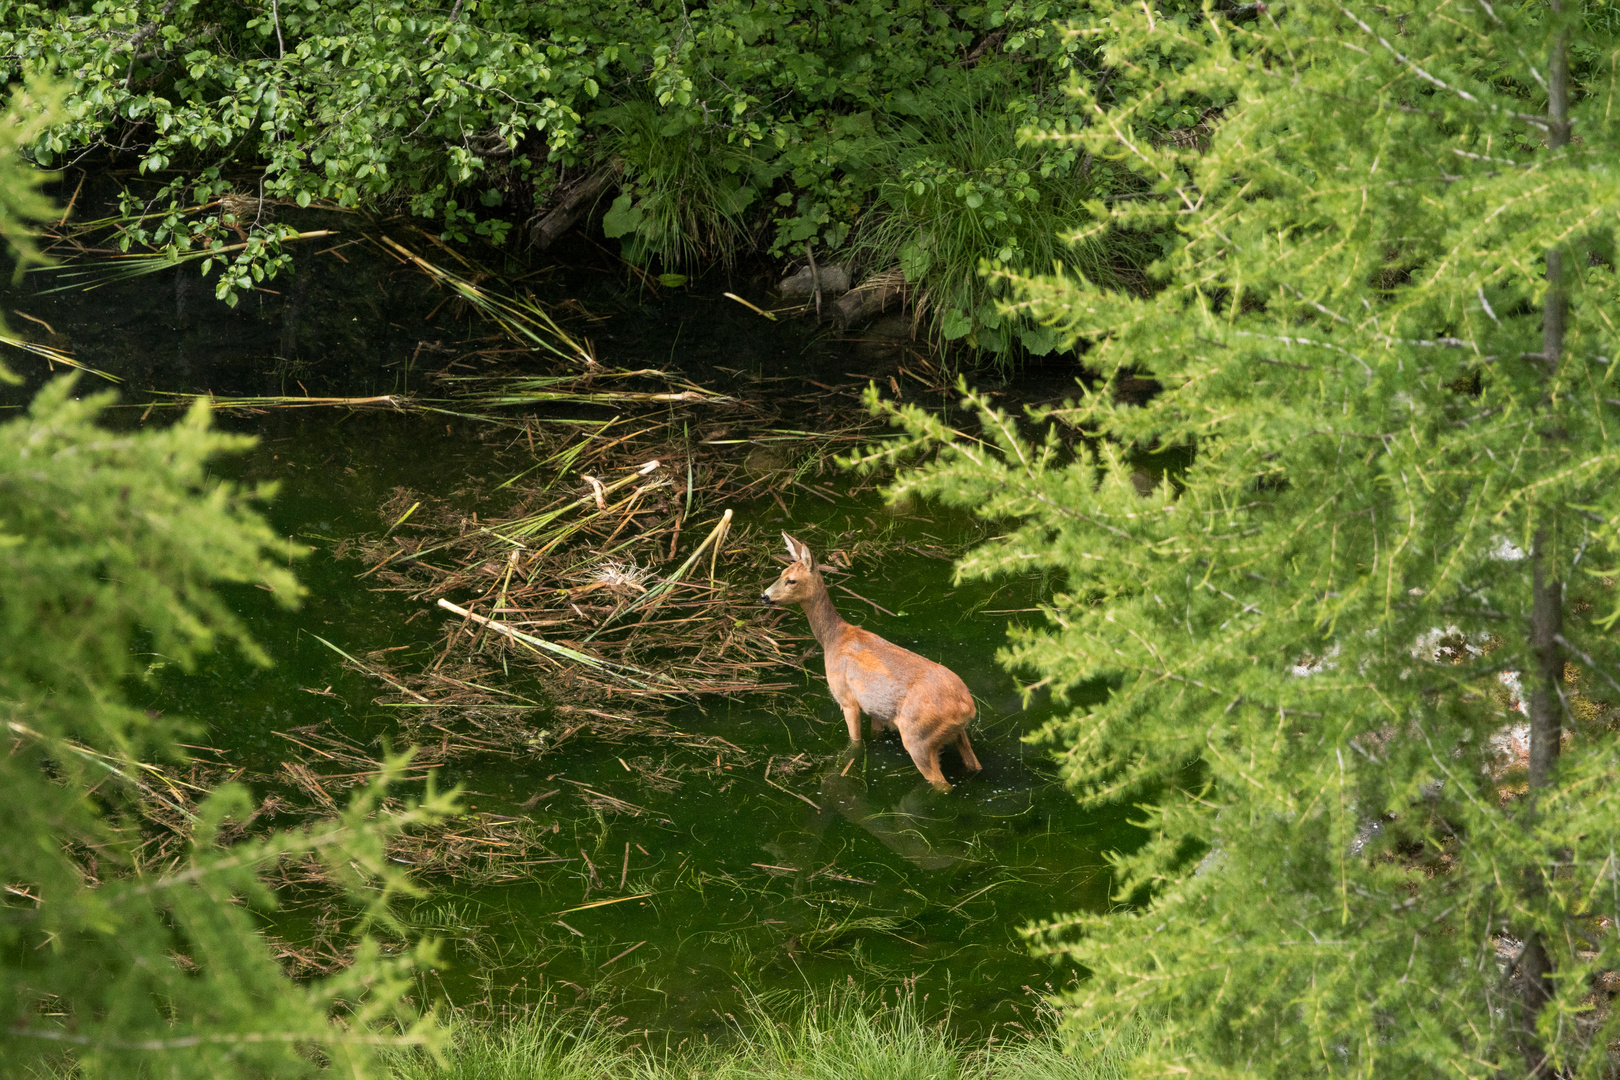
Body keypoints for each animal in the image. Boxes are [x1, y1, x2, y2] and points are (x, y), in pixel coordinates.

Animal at [754, 534, 978, 793]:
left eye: (791, 580)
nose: (764, 596)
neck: (834, 639)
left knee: (941, 784)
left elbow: (855, 743)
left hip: (918, 737)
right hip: (958, 734)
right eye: (781, 572)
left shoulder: (847, 698)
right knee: (974, 765)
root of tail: (966, 707)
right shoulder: (876, 709)